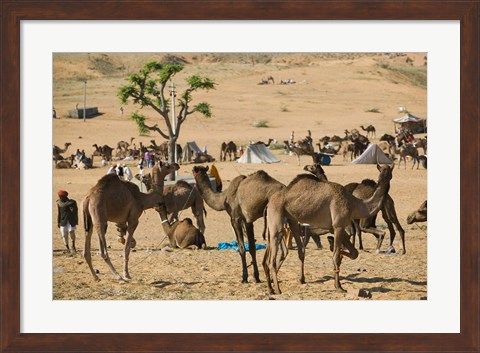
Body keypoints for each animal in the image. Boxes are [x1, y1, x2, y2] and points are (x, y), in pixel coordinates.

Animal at [262, 164, 394, 292]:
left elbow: (354, 253)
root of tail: (269, 202)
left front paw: (335, 248)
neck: (354, 204)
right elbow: (335, 256)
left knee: (299, 250)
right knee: (273, 255)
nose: (385, 177)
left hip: (291, 219)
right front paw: (339, 287)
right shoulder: (339, 225)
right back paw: (277, 290)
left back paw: (279, 285)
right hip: (276, 213)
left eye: (388, 172)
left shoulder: (335, 227)